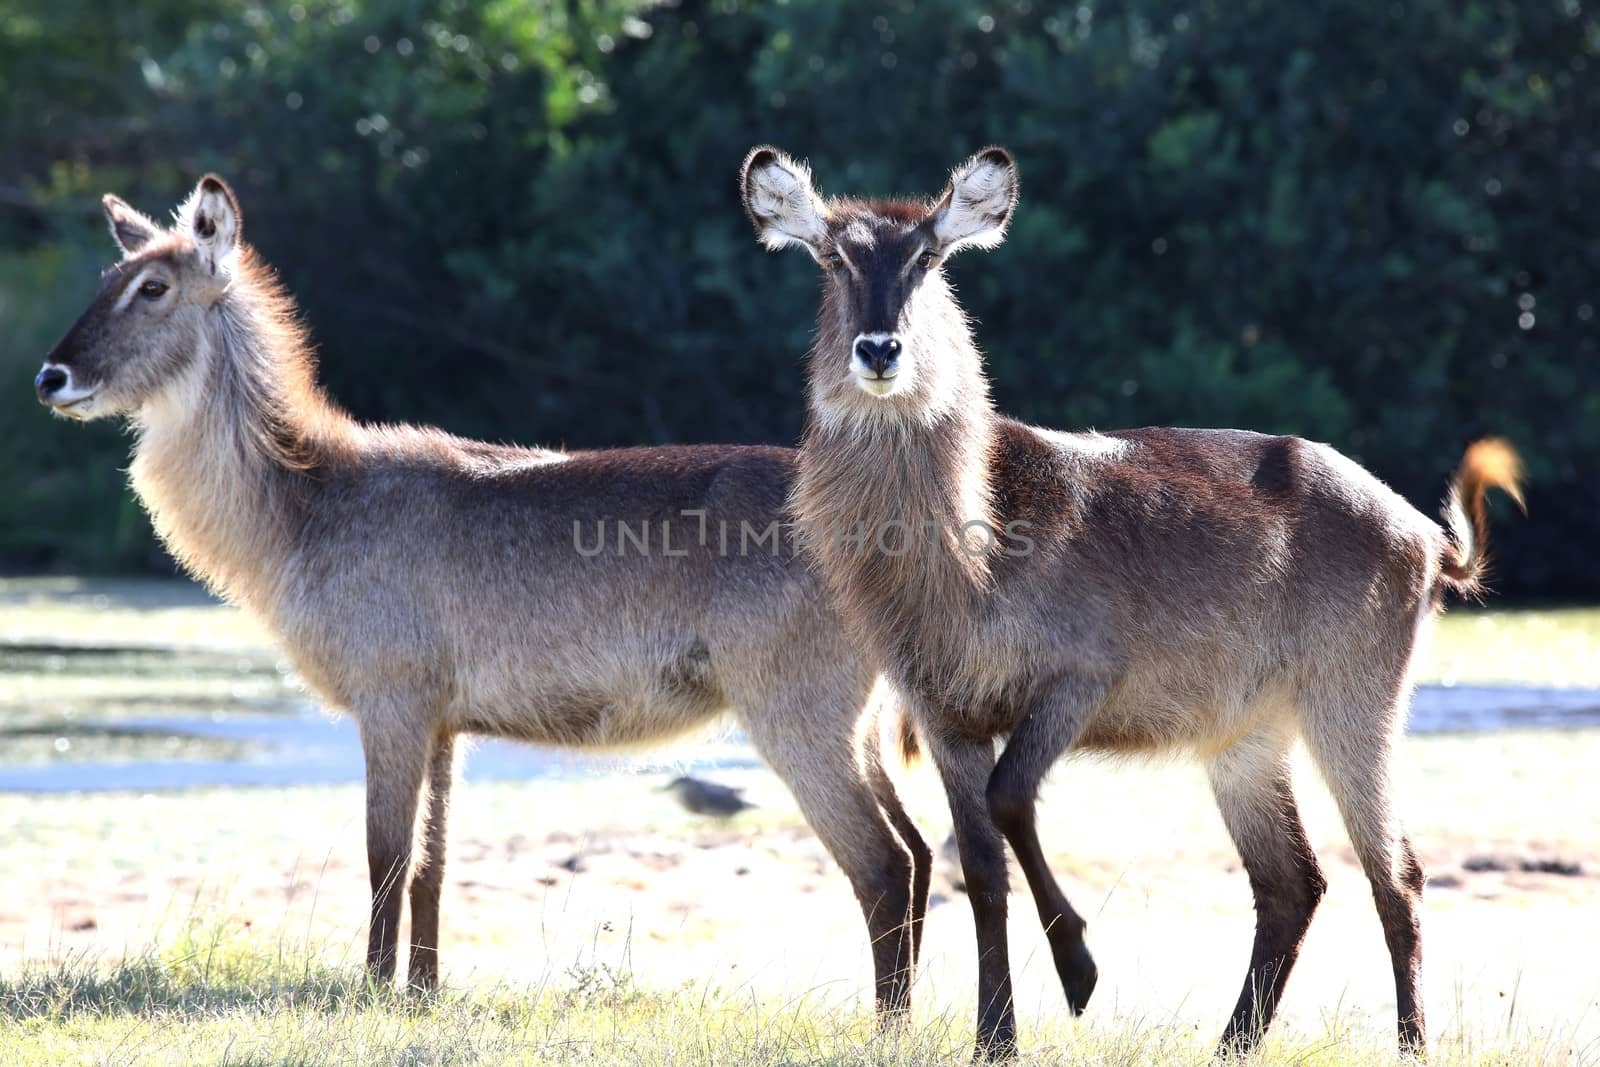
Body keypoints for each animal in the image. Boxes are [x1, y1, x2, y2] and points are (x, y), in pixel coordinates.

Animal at [34, 177, 934, 1017]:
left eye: (153, 287)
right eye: (110, 274)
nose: (51, 375)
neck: (307, 499)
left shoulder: (391, 702)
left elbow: (385, 856)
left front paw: (371, 991)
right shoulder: (443, 721)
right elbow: (432, 865)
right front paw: (422, 993)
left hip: (797, 714)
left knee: (884, 864)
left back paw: (887, 1026)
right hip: (855, 725)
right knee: (922, 852)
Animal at [739, 146, 1523, 1055]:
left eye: (929, 258)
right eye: (833, 258)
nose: (879, 348)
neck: (970, 543)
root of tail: (1426, 535)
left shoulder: (1080, 677)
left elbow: (1010, 798)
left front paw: (1079, 970)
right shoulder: (942, 711)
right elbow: (981, 867)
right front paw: (995, 1038)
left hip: (1353, 702)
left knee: (1395, 872)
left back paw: (1408, 1043)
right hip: (1246, 735)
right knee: (1293, 884)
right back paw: (1230, 1044)